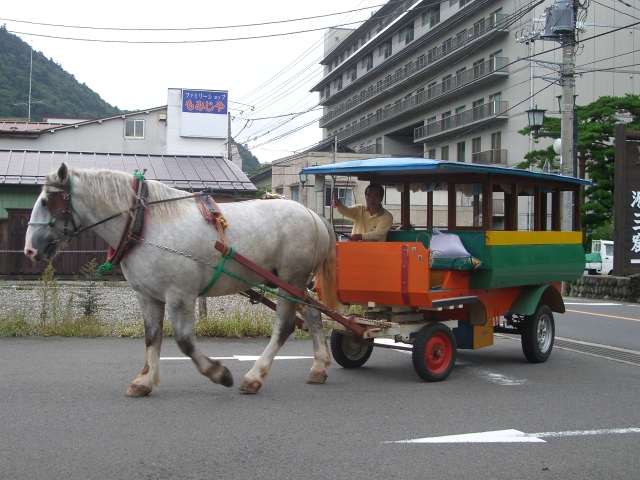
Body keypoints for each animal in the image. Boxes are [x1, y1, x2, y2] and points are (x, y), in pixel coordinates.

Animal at [22, 163, 338, 396]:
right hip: (294, 284)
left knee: (285, 327)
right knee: (313, 315)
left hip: (291, 279)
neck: (145, 225)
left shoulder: (180, 295)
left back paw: (255, 376)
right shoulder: (147, 296)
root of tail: (314, 215)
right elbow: (152, 337)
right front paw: (144, 381)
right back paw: (320, 367)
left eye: (45, 201)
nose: (29, 250)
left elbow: (185, 342)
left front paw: (219, 373)